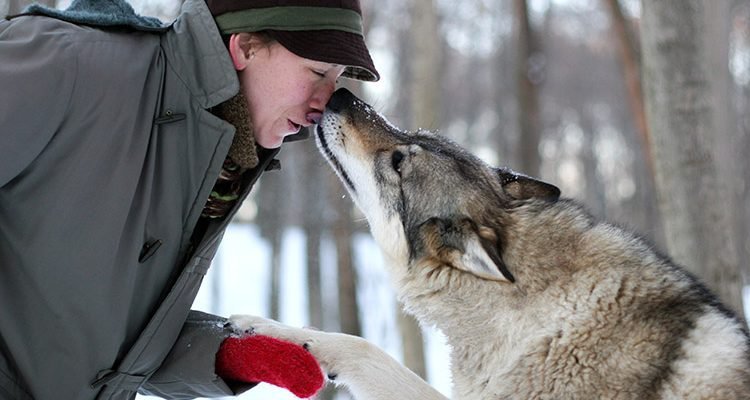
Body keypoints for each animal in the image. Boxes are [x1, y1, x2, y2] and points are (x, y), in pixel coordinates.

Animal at [232, 89, 748, 398]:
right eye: (413, 134)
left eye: (399, 161)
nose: (340, 93)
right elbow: (361, 346)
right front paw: (267, 329)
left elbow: (363, 345)